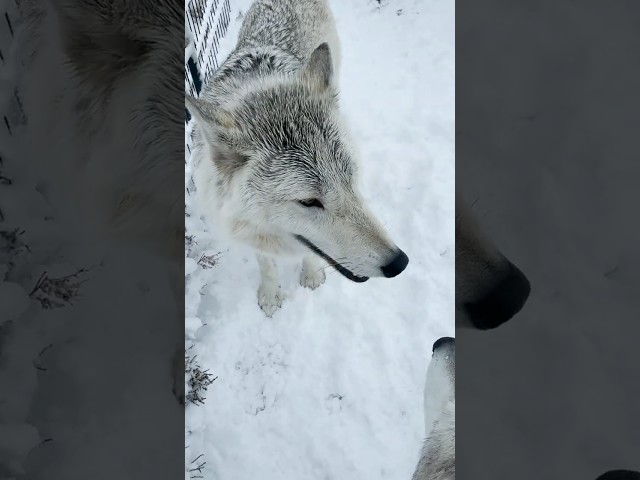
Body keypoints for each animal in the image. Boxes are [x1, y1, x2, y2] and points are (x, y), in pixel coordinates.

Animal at [185, 0, 408, 318]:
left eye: (350, 178)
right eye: (309, 201)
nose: (398, 263)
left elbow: (309, 254)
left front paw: (311, 276)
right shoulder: (251, 232)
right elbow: (266, 264)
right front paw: (270, 296)